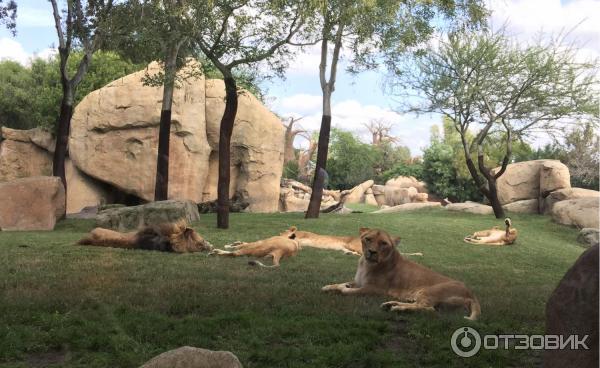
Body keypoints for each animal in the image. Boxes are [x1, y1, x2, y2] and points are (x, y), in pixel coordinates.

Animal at [322, 227, 480, 320]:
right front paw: (329, 287)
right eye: (368, 239)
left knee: (429, 309)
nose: (372, 252)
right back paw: (390, 304)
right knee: (420, 305)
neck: (366, 264)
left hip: (430, 291)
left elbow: (348, 291)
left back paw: (399, 308)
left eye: (383, 243)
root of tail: (471, 294)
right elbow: (342, 283)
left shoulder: (374, 289)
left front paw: (342, 289)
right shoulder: (359, 281)